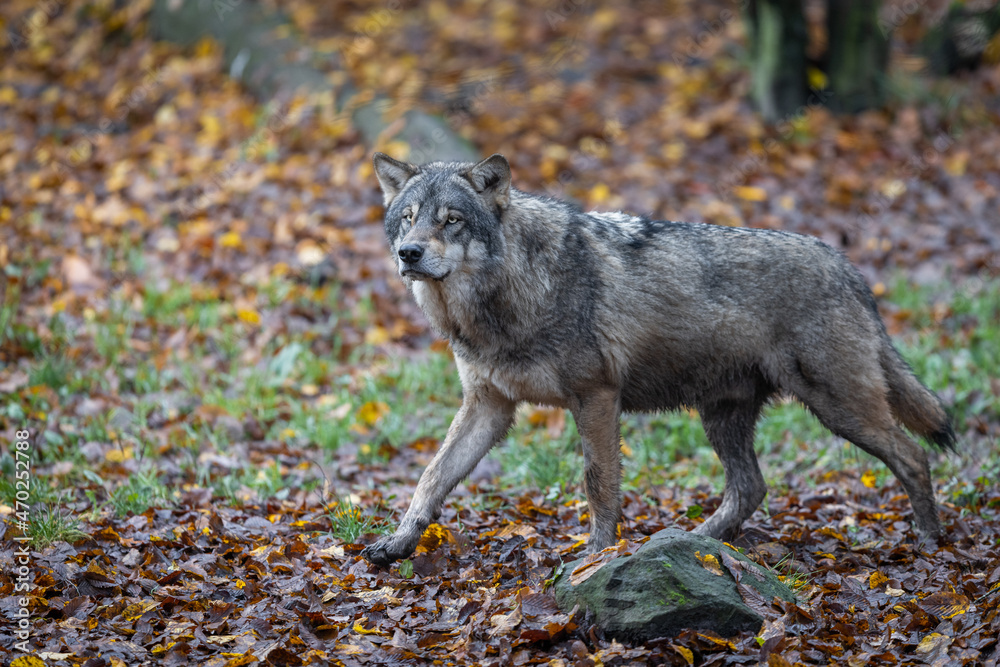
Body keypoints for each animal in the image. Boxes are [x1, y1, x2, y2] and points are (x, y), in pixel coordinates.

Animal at [361, 152, 955, 567]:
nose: (408, 253)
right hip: (724, 416)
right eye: (408, 218)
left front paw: (596, 553)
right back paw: (696, 542)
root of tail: (848, 266)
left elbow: (598, 483)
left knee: (912, 456)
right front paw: (399, 542)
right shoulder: (488, 406)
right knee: (751, 487)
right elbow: (431, 477)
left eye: (452, 220)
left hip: (837, 407)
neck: (503, 299)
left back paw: (929, 541)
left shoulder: (596, 397)